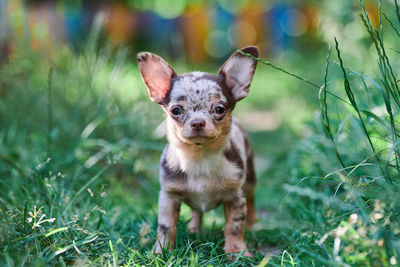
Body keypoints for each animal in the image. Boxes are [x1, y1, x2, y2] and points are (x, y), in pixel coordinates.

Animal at [137, 46, 260, 258]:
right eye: (176, 111)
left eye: (219, 109)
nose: (197, 123)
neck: (199, 157)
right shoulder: (168, 197)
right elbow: (166, 227)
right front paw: (160, 252)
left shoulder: (236, 197)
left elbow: (234, 226)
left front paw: (237, 252)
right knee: (196, 212)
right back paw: (194, 229)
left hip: (250, 180)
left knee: (251, 201)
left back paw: (253, 224)